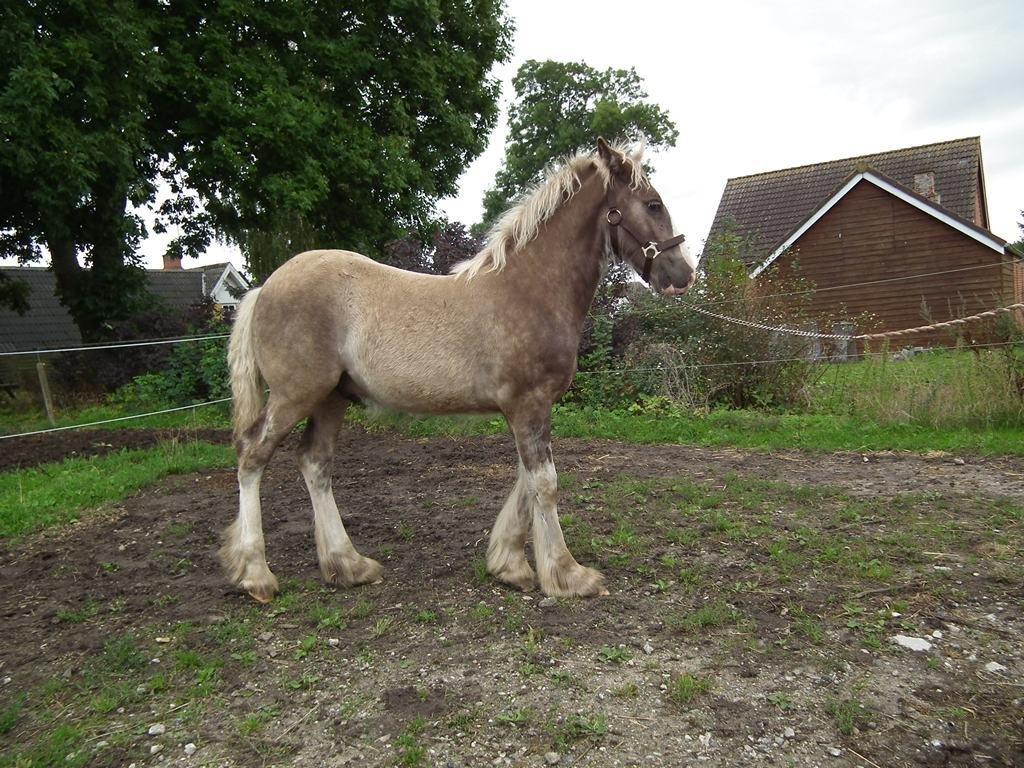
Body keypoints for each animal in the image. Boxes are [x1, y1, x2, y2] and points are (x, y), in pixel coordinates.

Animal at [220, 140, 692, 606]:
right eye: (653, 204)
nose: (682, 275)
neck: (530, 289)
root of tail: (263, 288)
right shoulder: (529, 404)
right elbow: (544, 483)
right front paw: (566, 574)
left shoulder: (526, 409)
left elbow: (526, 480)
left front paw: (509, 566)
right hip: (294, 396)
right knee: (252, 456)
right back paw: (256, 575)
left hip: (331, 399)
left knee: (315, 464)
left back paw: (348, 565)